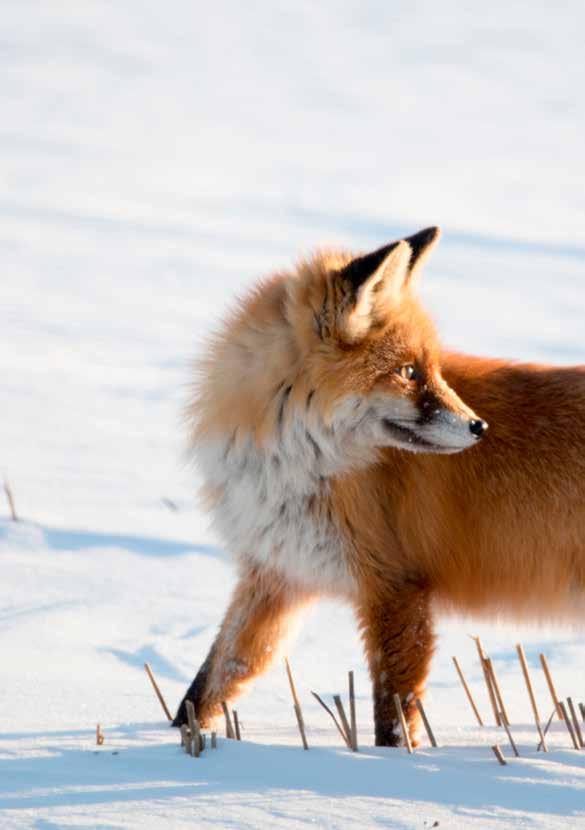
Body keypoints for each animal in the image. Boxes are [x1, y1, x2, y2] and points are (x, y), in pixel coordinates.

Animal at [173, 228, 584, 748]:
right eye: (409, 372)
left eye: (433, 369)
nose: (480, 427)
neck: (294, 464)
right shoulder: (278, 572)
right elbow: (211, 681)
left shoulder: (396, 585)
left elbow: (393, 714)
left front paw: (389, 766)